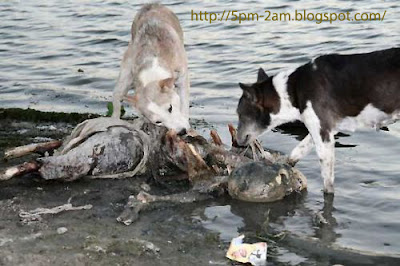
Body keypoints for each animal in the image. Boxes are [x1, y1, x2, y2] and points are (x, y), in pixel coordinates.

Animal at [236, 48, 400, 193]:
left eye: (240, 114)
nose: (237, 141)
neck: (292, 91)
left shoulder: (324, 136)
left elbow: (328, 185)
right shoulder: (322, 128)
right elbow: (297, 151)